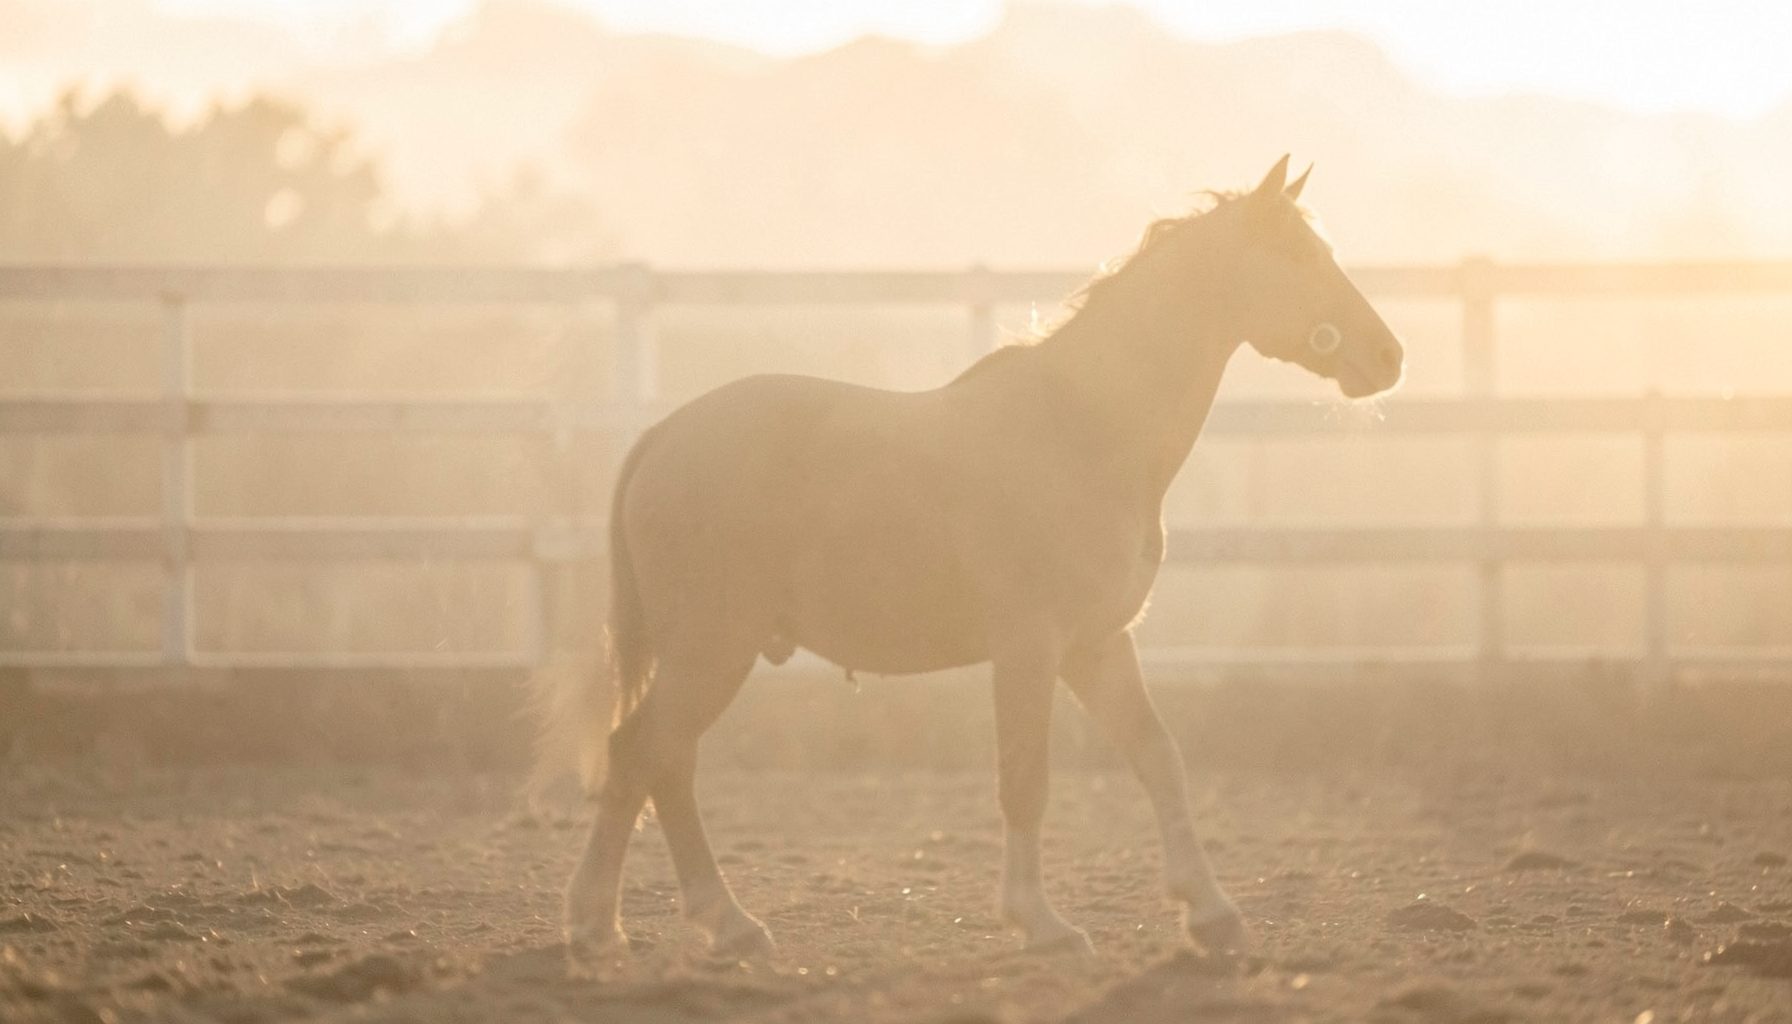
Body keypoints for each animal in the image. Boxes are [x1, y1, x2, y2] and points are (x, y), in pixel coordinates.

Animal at [544, 156, 1405, 962]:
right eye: (1297, 255)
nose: (1389, 354)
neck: (1087, 429)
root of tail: (663, 435)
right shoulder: (1030, 649)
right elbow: (1025, 780)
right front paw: (1043, 923)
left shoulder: (1097, 646)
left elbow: (1159, 759)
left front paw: (1212, 914)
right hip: (710, 652)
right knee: (644, 755)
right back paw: (620, 922)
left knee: (660, 764)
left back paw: (697, 924)